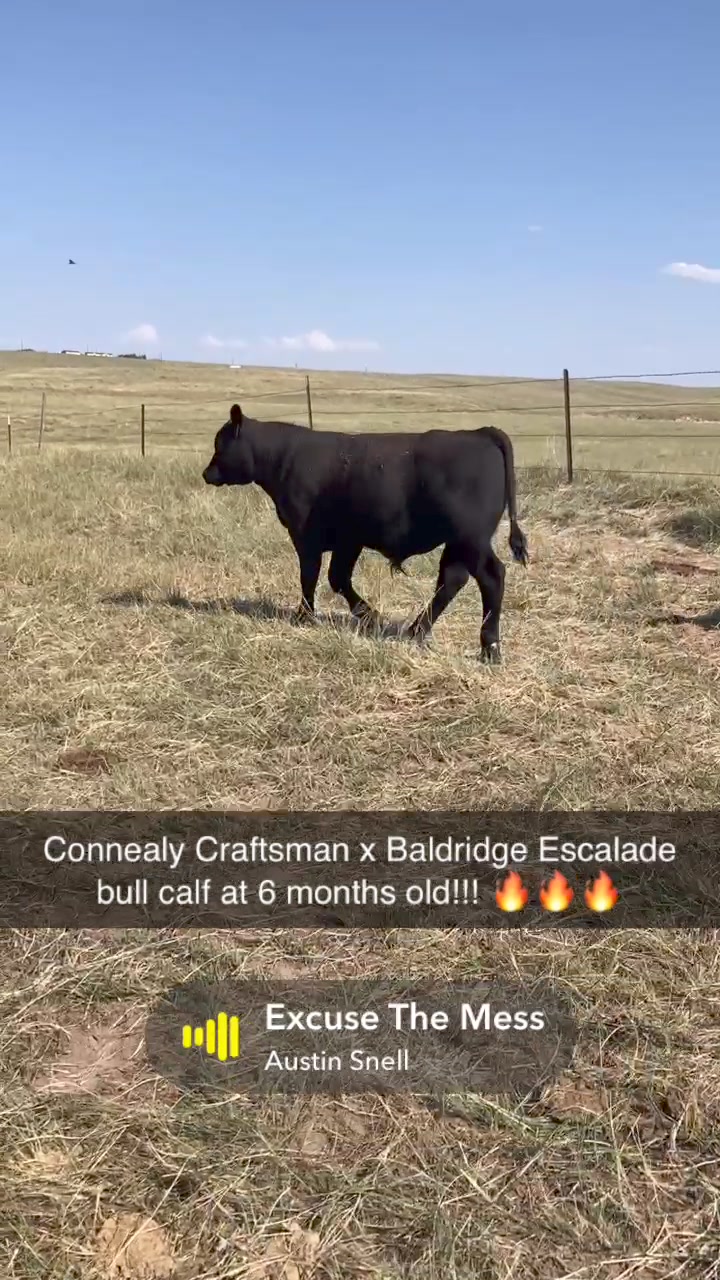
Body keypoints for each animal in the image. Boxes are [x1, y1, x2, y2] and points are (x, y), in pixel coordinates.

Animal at [202, 405, 529, 662]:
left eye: (220, 444)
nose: (206, 474)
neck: (285, 457)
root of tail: (479, 433)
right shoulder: (349, 540)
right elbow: (337, 577)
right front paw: (369, 616)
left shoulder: (307, 536)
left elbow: (310, 576)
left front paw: (305, 616)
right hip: (459, 542)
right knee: (451, 580)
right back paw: (416, 631)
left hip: (471, 539)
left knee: (491, 577)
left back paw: (489, 648)